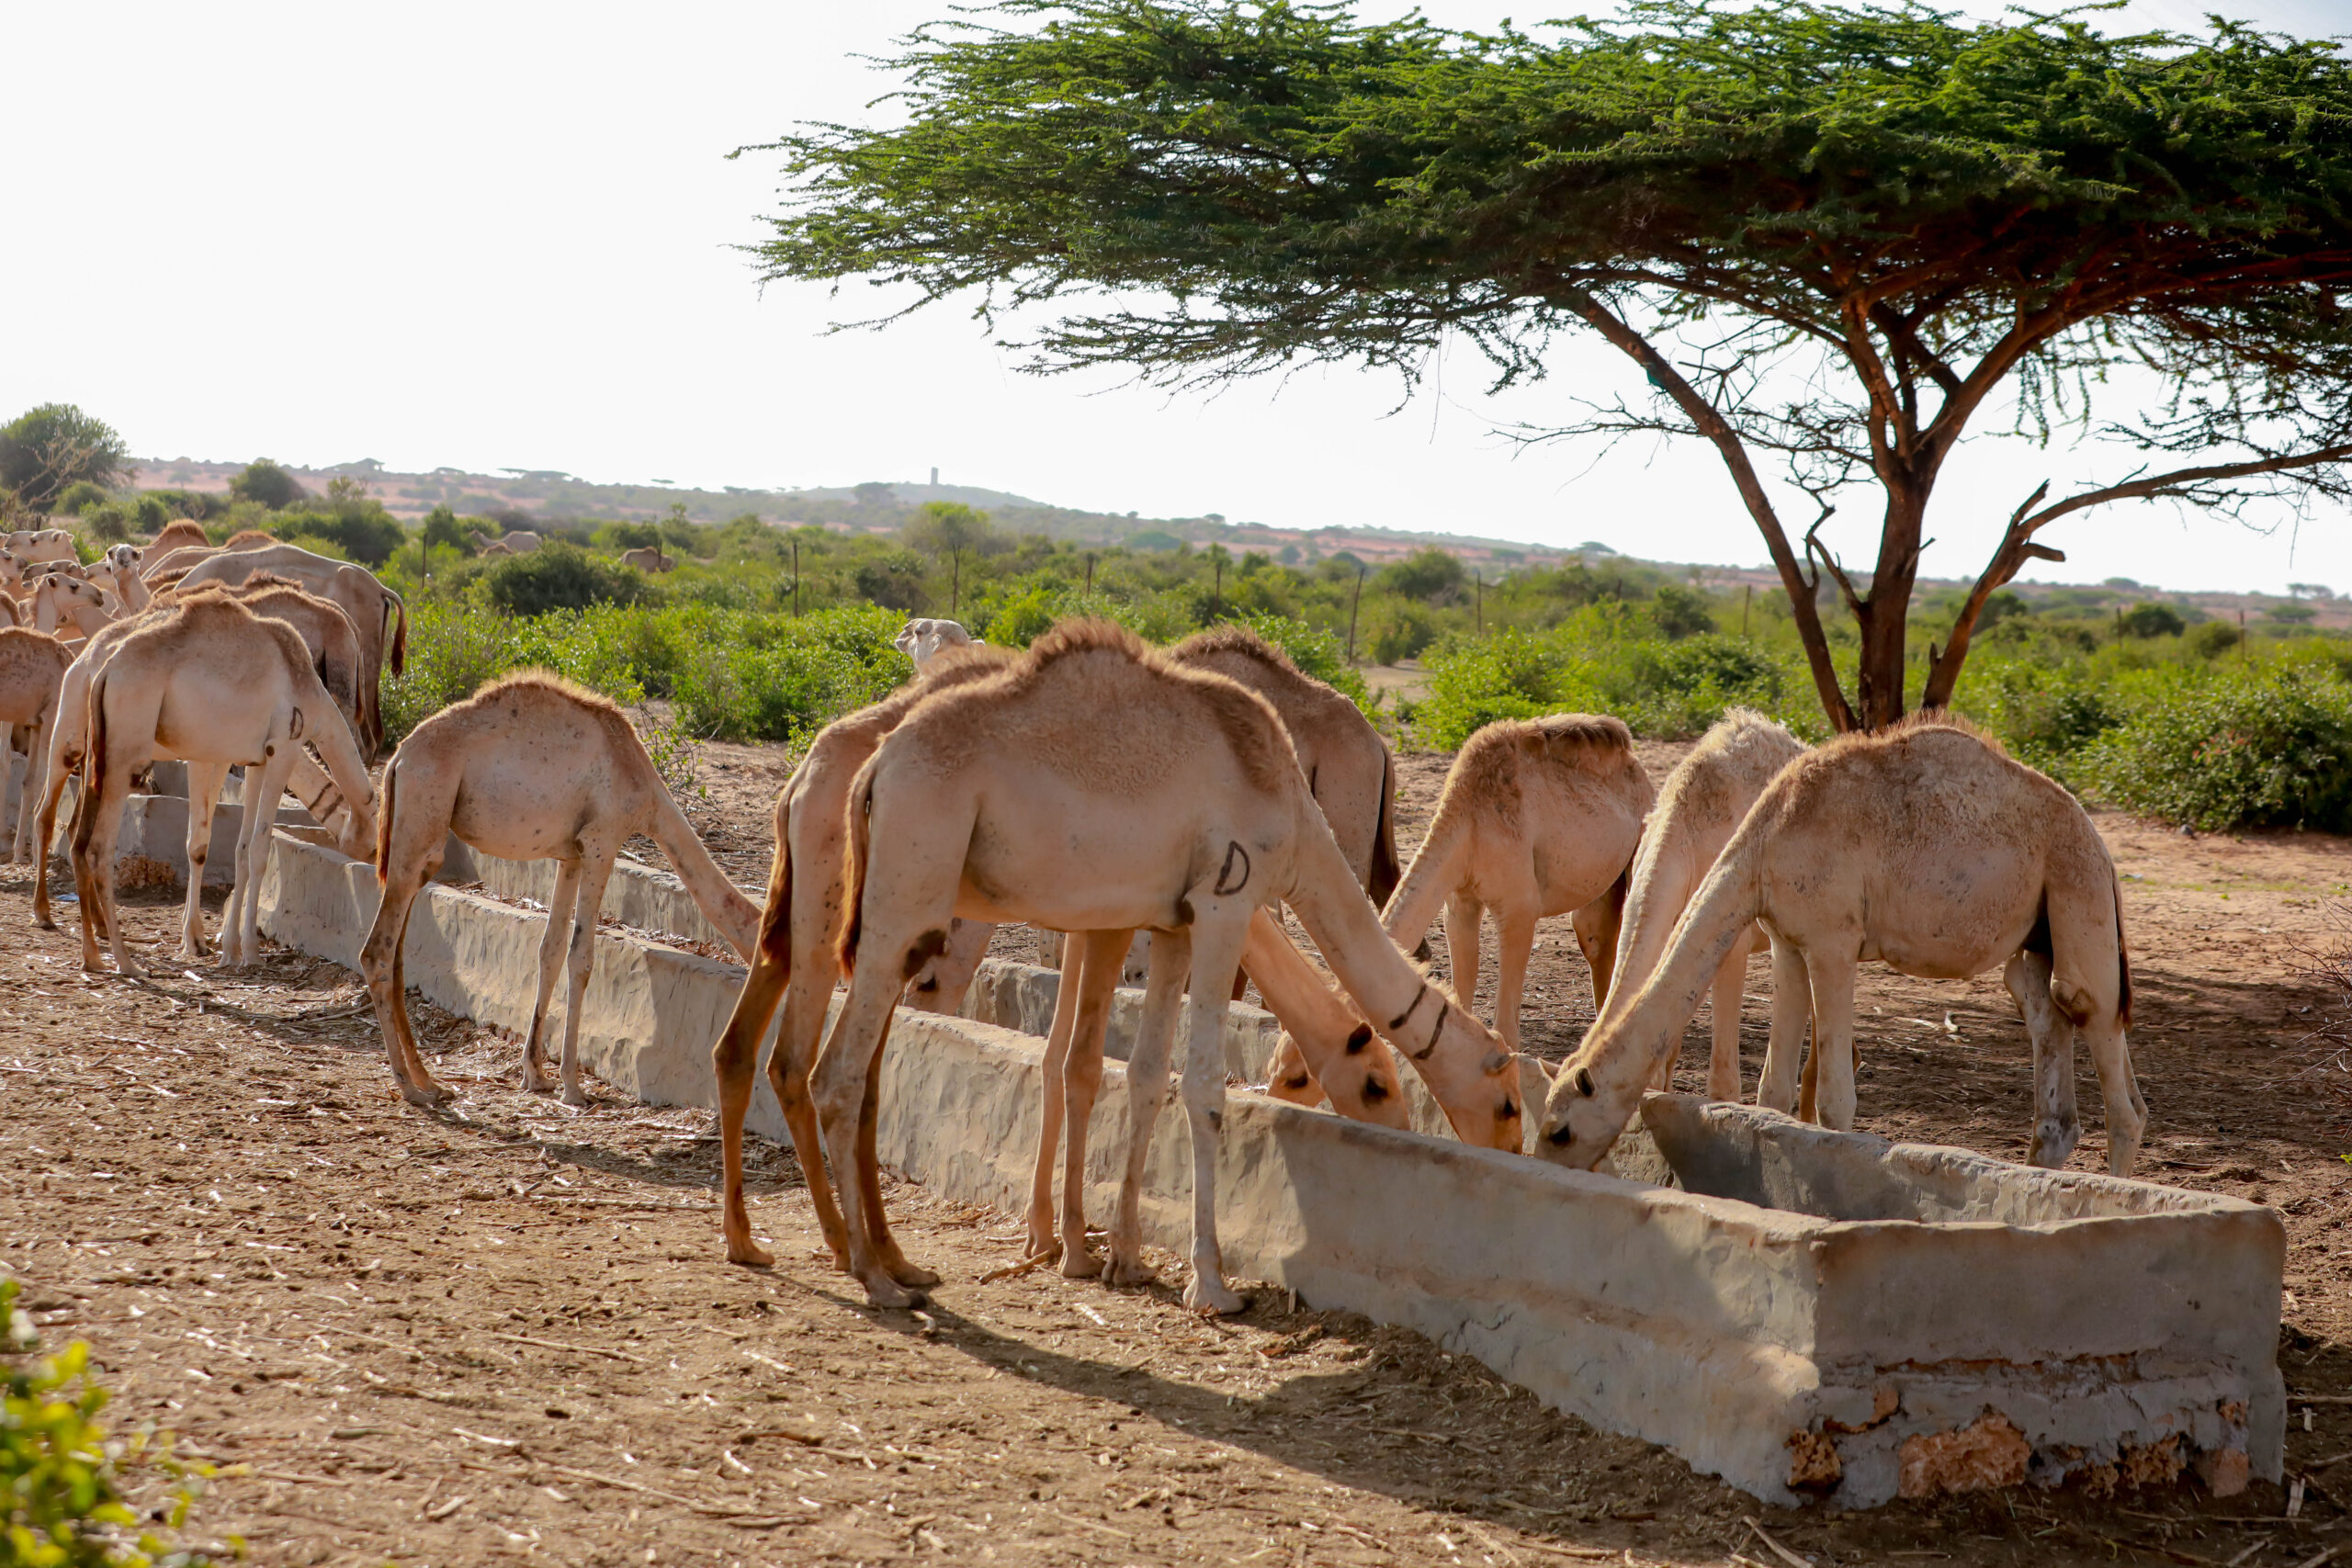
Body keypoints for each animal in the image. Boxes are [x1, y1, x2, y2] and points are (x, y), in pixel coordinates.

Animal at [25, 579, 370, 937]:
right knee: (60, 818)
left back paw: (84, 921)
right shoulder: (270, 748)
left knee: (66, 822)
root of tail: (93, 663)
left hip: (84, 735)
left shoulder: (242, 756)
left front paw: (209, 937)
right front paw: (205, 938)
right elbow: (219, 842)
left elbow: (221, 844)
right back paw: (57, 915)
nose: (369, 858)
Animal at [362, 673, 759, 1107]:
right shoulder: (602, 840)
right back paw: (408, 1087)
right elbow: (581, 957)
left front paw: (535, 1074)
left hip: (416, 844)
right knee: (377, 951)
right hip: (422, 825)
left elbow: (550, 950)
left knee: (397, 954)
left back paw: (430, 1082)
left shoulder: (571, 855)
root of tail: (397, 761)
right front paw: (572, 1085)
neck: (646, 790)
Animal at [811, 623, 1524, 1311]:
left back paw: (887, 1261)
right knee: (836, 1070)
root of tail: (876, 767)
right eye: (1509, 1103)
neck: (1288, 806)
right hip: (906, 893)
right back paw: (875, 1276)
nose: (1509, 1151)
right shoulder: (1224, 902)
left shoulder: (1172, 921)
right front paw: (1210, 1285)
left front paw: (1124, 1259)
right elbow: (1204, 1088)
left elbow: (1148, 1075)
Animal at [1376, 715, 1651, 1053]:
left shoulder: (1518, 907)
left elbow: (1506, 1027)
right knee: (1596, 937)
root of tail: (1637, 764)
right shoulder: (1459, 901)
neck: (1469, 823)